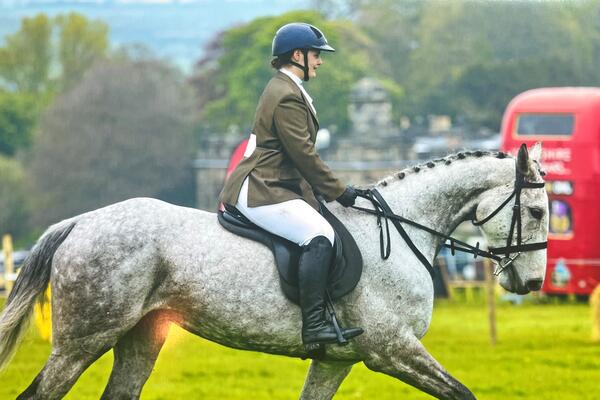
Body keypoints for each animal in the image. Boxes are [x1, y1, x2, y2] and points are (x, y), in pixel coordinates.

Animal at [0, 145, 548, 400]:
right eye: (539, 211)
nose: (530, 284)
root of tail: (79, 222)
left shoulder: (338, 360)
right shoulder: (391, 350)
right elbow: (462, 391)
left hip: (142, 336)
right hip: (83, 340)